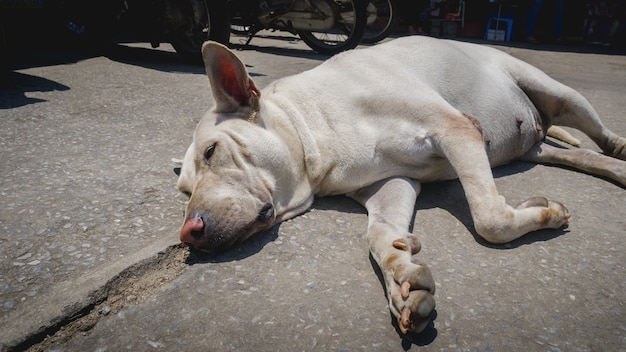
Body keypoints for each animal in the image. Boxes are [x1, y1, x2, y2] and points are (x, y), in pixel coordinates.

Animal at [177, 37, 624, 334]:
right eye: (184, 191)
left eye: (212, 152)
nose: (188, 232)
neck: (315, 129)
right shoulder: (392, 183)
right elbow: (380, 235)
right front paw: (403, 280)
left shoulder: (457, 129)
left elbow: (490, 220)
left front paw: (543, 214)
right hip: (535, 148)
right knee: (586, 157)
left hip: (559, 92)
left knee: (597, 133)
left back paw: (618, 145)